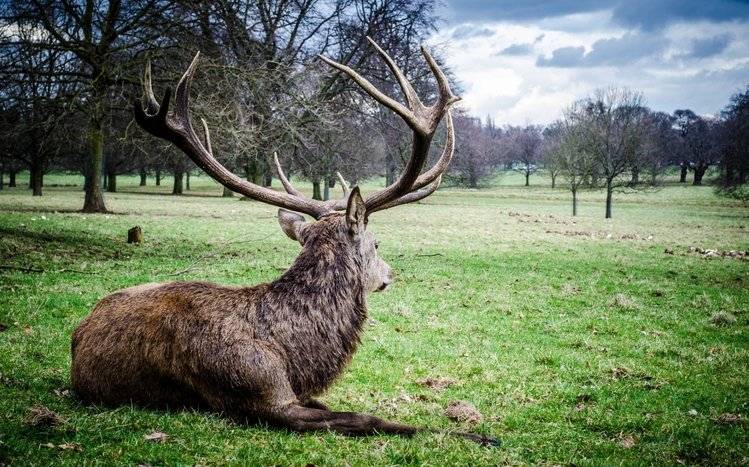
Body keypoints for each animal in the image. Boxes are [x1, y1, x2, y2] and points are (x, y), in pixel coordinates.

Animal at [71, 38, 499, 447]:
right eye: (377, 243)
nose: (391, 274)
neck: (295, 357)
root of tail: (77, 333)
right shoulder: (261, 393)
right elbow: (366, 418)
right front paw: (476, 434)